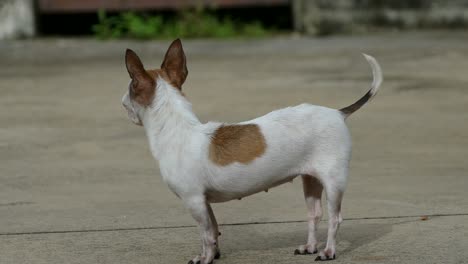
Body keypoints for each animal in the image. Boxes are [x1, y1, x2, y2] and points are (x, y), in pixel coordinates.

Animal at [121, 38, 384, 262]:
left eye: (130, 88)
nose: (122, 102)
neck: (178, 130)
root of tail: (338, 113)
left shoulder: (194, 201)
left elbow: (204, 234)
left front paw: (204, 258)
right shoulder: (204, 202)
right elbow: (213, 230)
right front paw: (214, 255)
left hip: (333, 181)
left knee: (335, 218)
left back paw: (328, 251)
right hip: (310, 179)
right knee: (315, 214)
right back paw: (310, 247)